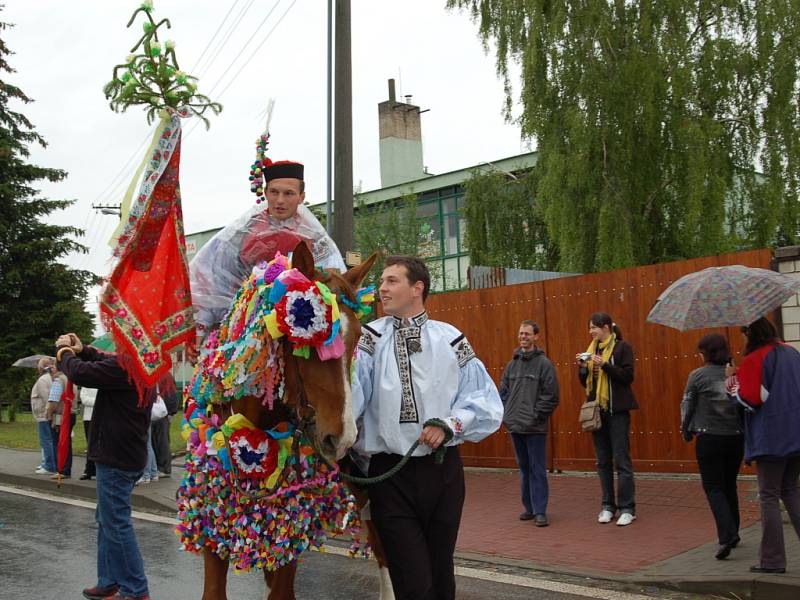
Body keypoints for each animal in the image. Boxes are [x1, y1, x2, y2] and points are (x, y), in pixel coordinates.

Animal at [177, 241, 392, 596]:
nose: (341, 437)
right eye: (306, 339)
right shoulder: (214, 523)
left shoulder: (288, 529)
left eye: (358, 336)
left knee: (380, 544)